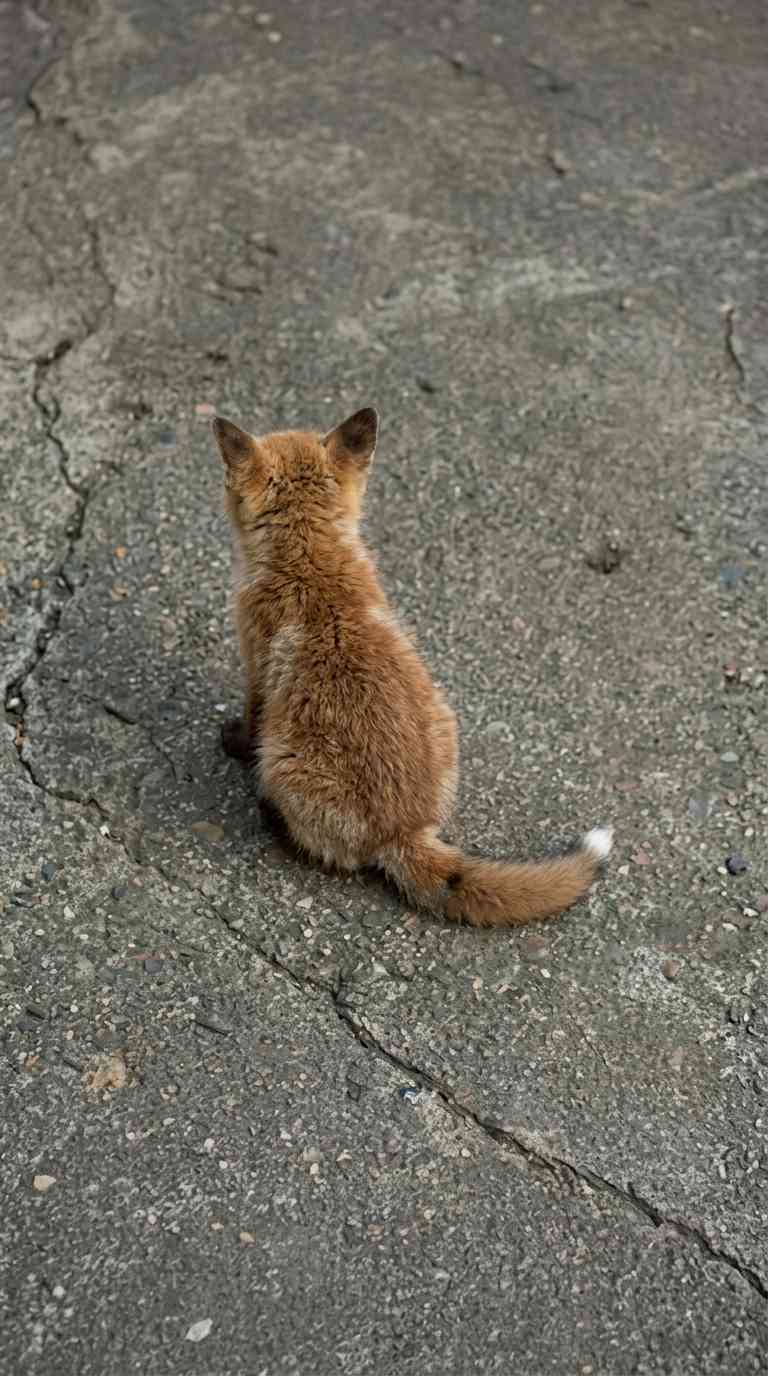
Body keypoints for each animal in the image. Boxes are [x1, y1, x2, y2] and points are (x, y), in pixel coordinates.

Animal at [212, 406, 612, 927]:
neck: (311, 556)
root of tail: (406, 831)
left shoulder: (257, 665)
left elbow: (251, 720)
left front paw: (232, 743)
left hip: (283, 763)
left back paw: (274, 821)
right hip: (445, 718)